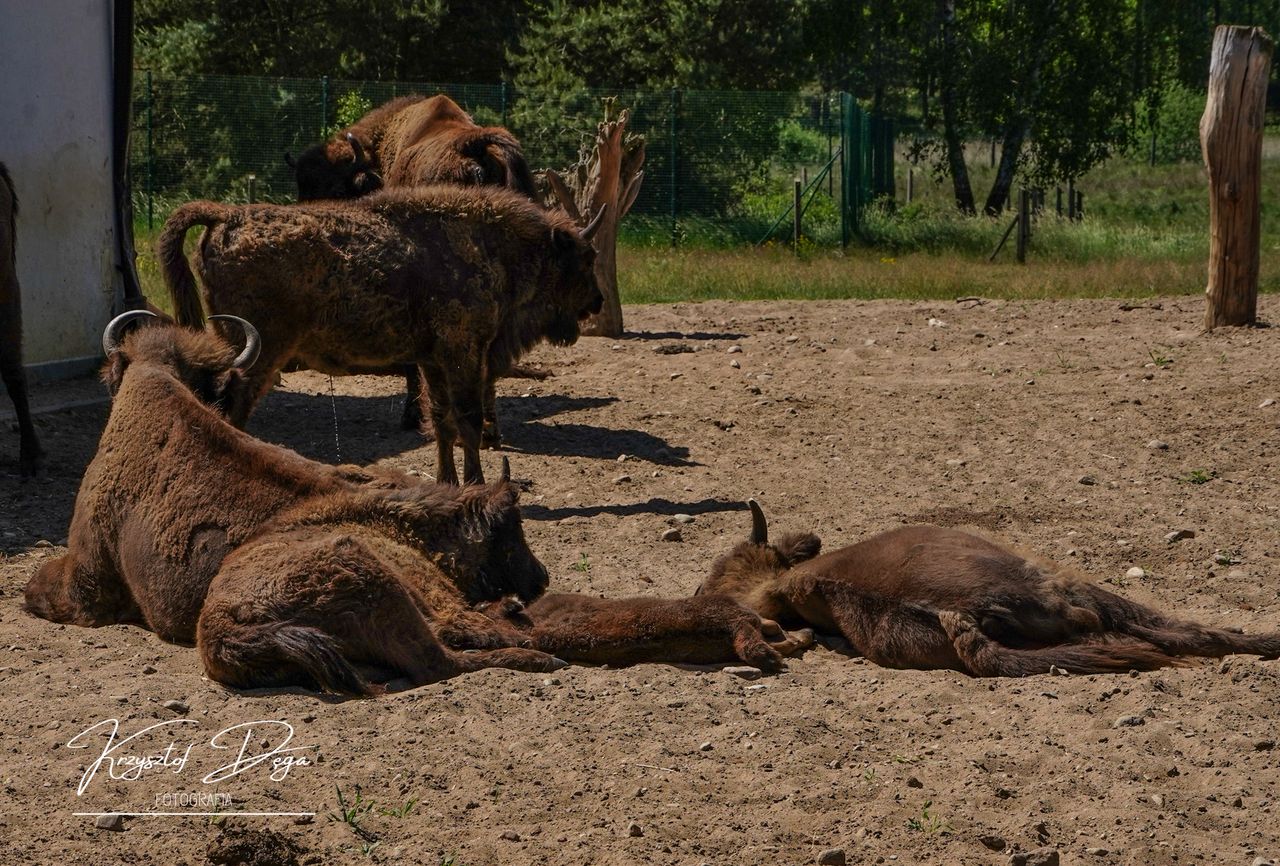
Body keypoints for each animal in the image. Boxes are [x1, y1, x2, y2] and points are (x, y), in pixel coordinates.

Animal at [23, 312, 565, 695]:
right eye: (509, 538)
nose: (541, 578)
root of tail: (222, 627)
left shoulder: (86, 579)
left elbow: (34, 589)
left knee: (446, 655)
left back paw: (541, 653)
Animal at [160, 182, 604, 483]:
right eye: (585, 258)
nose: (597, 301)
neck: (491, 246)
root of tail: (227, 216)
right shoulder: (462, 354)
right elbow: (468, 421)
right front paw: (475, 484)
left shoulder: (432, 361)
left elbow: (441, 422)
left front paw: (447, 482)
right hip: (263, 350)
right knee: (232, 402)